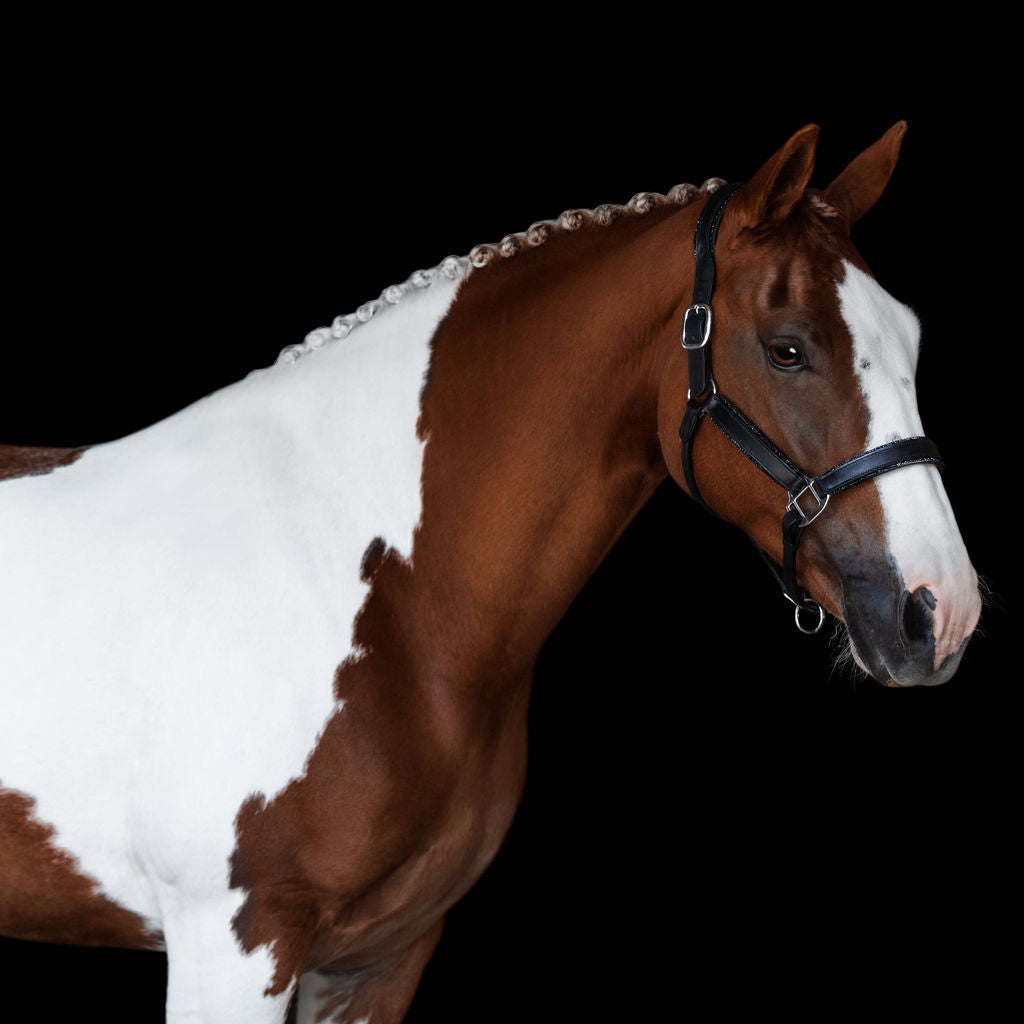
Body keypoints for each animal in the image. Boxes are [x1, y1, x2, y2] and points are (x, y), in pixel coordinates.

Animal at [0, 122, 981, 1023]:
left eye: (912, 340)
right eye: (787, 348)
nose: (939, 612)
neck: (372, 593)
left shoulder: (379, 958)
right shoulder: (235, 945)